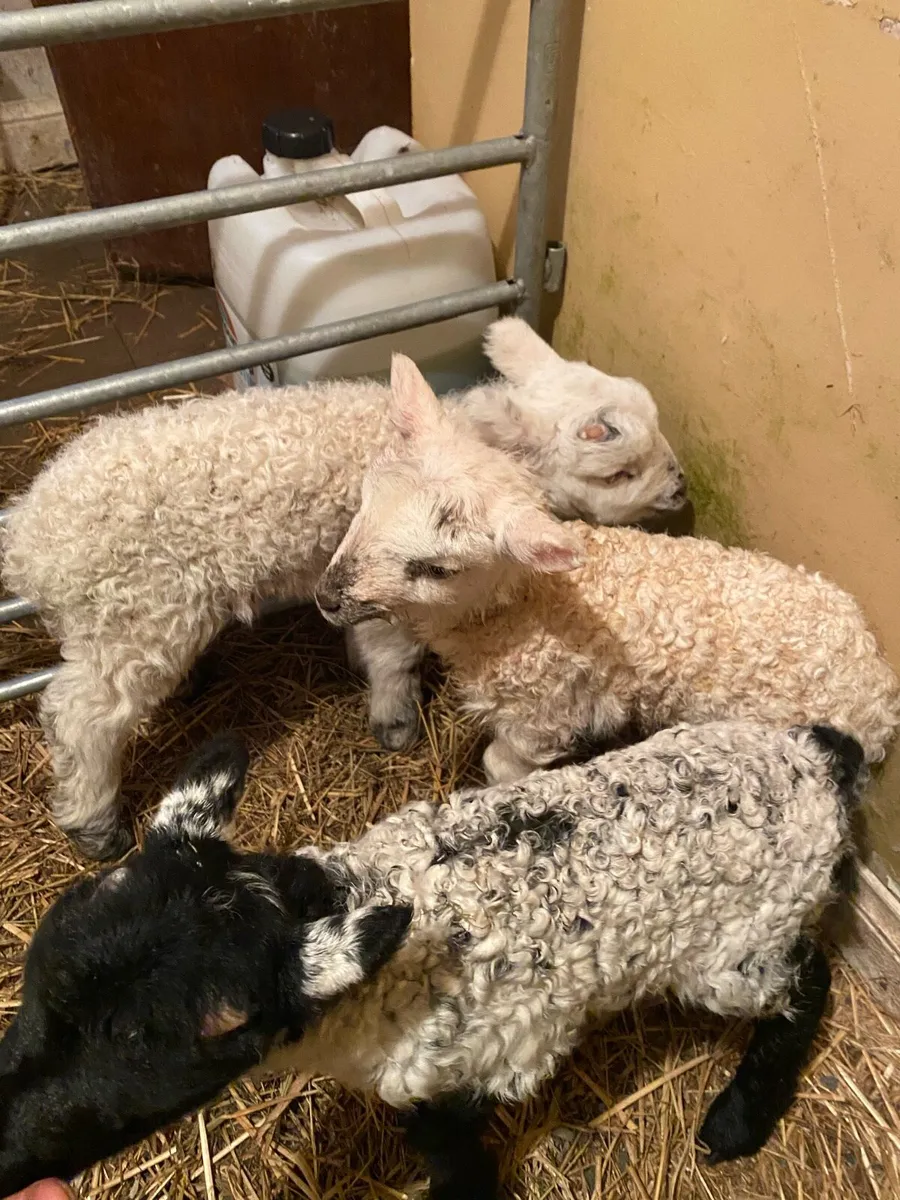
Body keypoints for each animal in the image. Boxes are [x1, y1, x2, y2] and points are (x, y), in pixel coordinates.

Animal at [0, 720, 863, 1198]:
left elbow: (452, 1159)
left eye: (165, 1048)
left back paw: (737, 1122)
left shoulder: (471, 1066)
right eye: (42, 971)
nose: (8, 1142)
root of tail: (814, 755)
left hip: (737, 948)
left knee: (808, 979)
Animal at [1, 319, 688, 861]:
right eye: (619, 472)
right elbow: (393, 653)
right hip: (135, 612)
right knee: (83, 717)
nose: (682, 489)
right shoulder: (389, 585)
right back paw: (94, 825)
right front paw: (396, 720)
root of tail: (30, 538)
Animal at [316, 355, 900, 785]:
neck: (523, 609)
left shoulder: (544, 713)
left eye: (437, 568)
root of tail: (878, 688)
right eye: (365, 502)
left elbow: (501, 763)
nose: (327, 597)